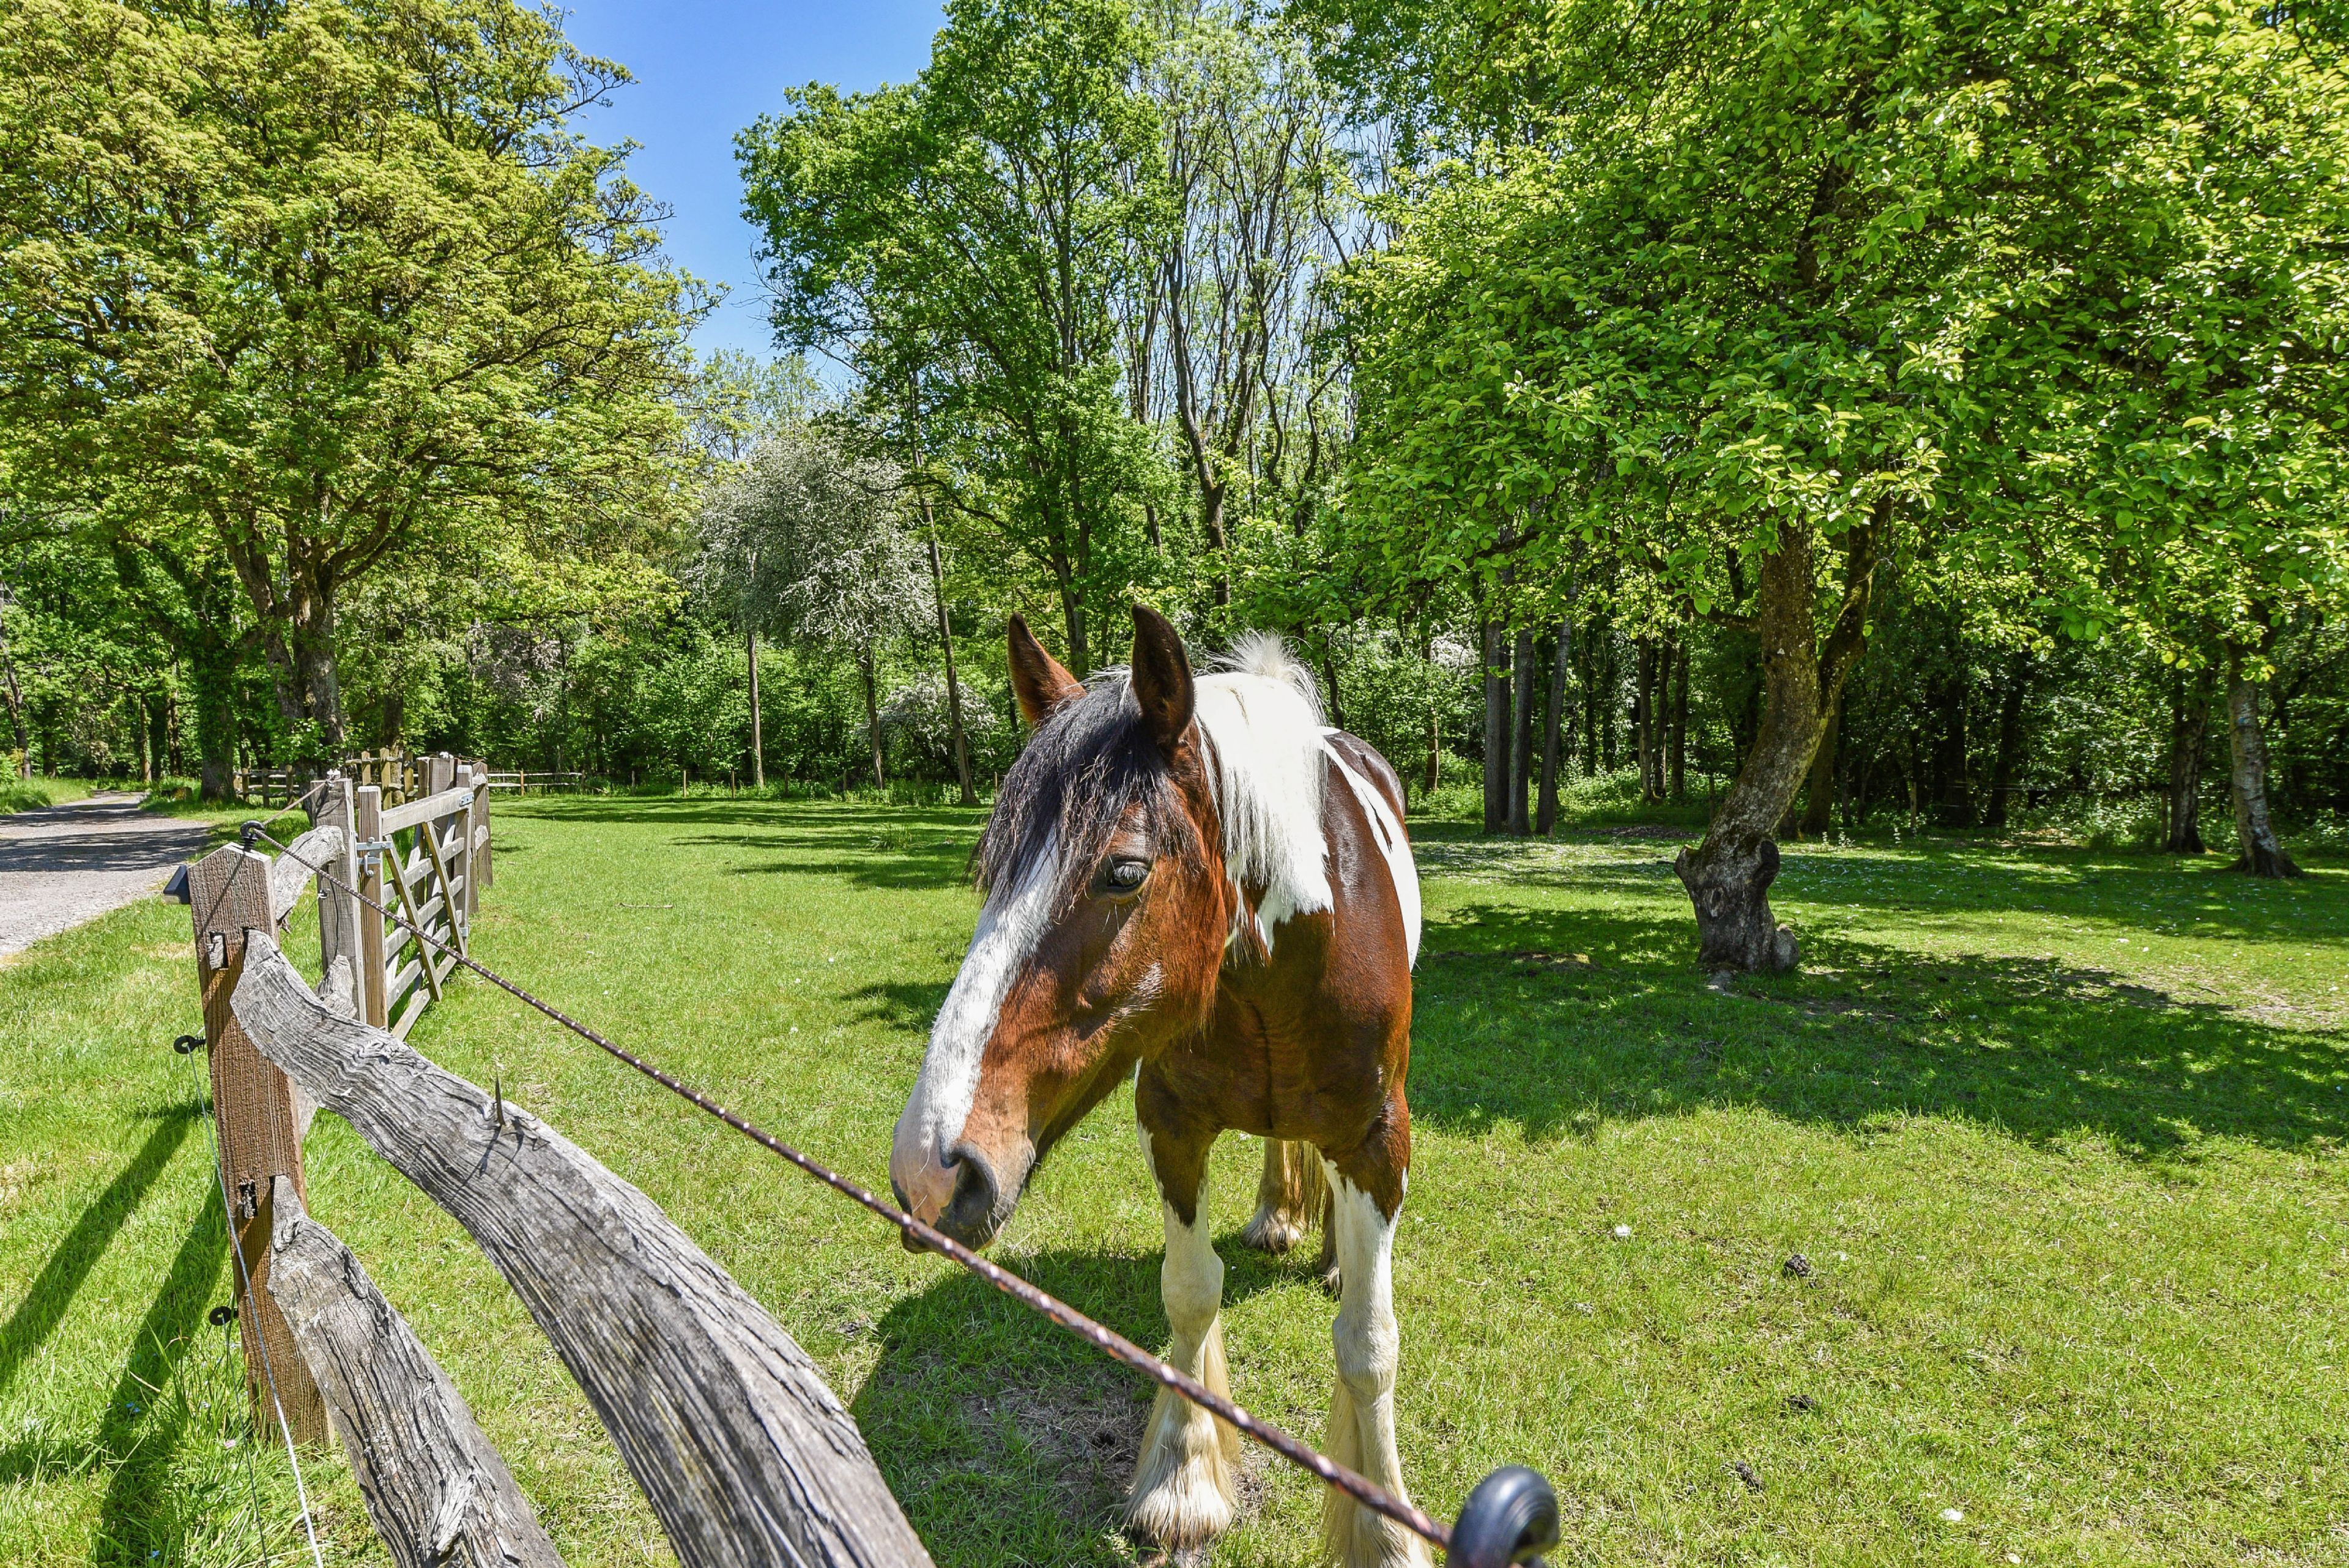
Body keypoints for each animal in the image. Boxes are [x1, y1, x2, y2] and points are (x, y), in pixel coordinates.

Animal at [889, 605, 1429, 1568]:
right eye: (991, 866)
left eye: (1125, 871)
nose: (932, 1167)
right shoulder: (1171, 1125)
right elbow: (1190, 1292)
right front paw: (1182, 1480)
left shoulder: (1376, 1141)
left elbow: (1369, 1344)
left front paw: (1387, 1530)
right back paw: (1280, 1215)